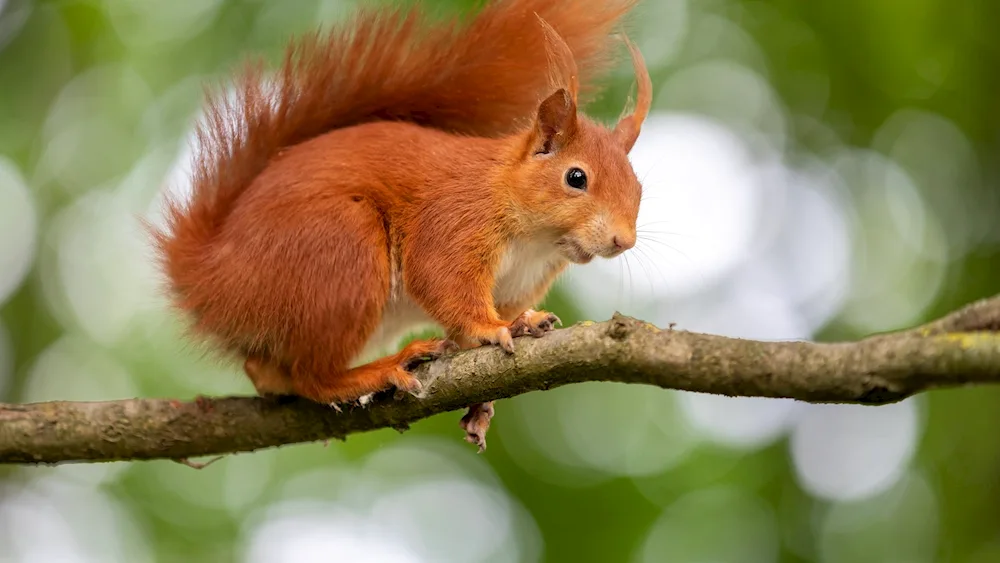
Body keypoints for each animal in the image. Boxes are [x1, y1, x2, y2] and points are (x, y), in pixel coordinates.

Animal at [148, 0, 648, 452]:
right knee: (312, 378)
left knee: (269, 372)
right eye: (576, 178)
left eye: (639, 187)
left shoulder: (520, 281)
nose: (623, 241)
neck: (536, 239)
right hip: (341, 248)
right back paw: (377, 370)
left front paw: (507, 354)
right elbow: (441, 279)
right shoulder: (455, 219)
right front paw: (492, 327)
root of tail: (211, 276)